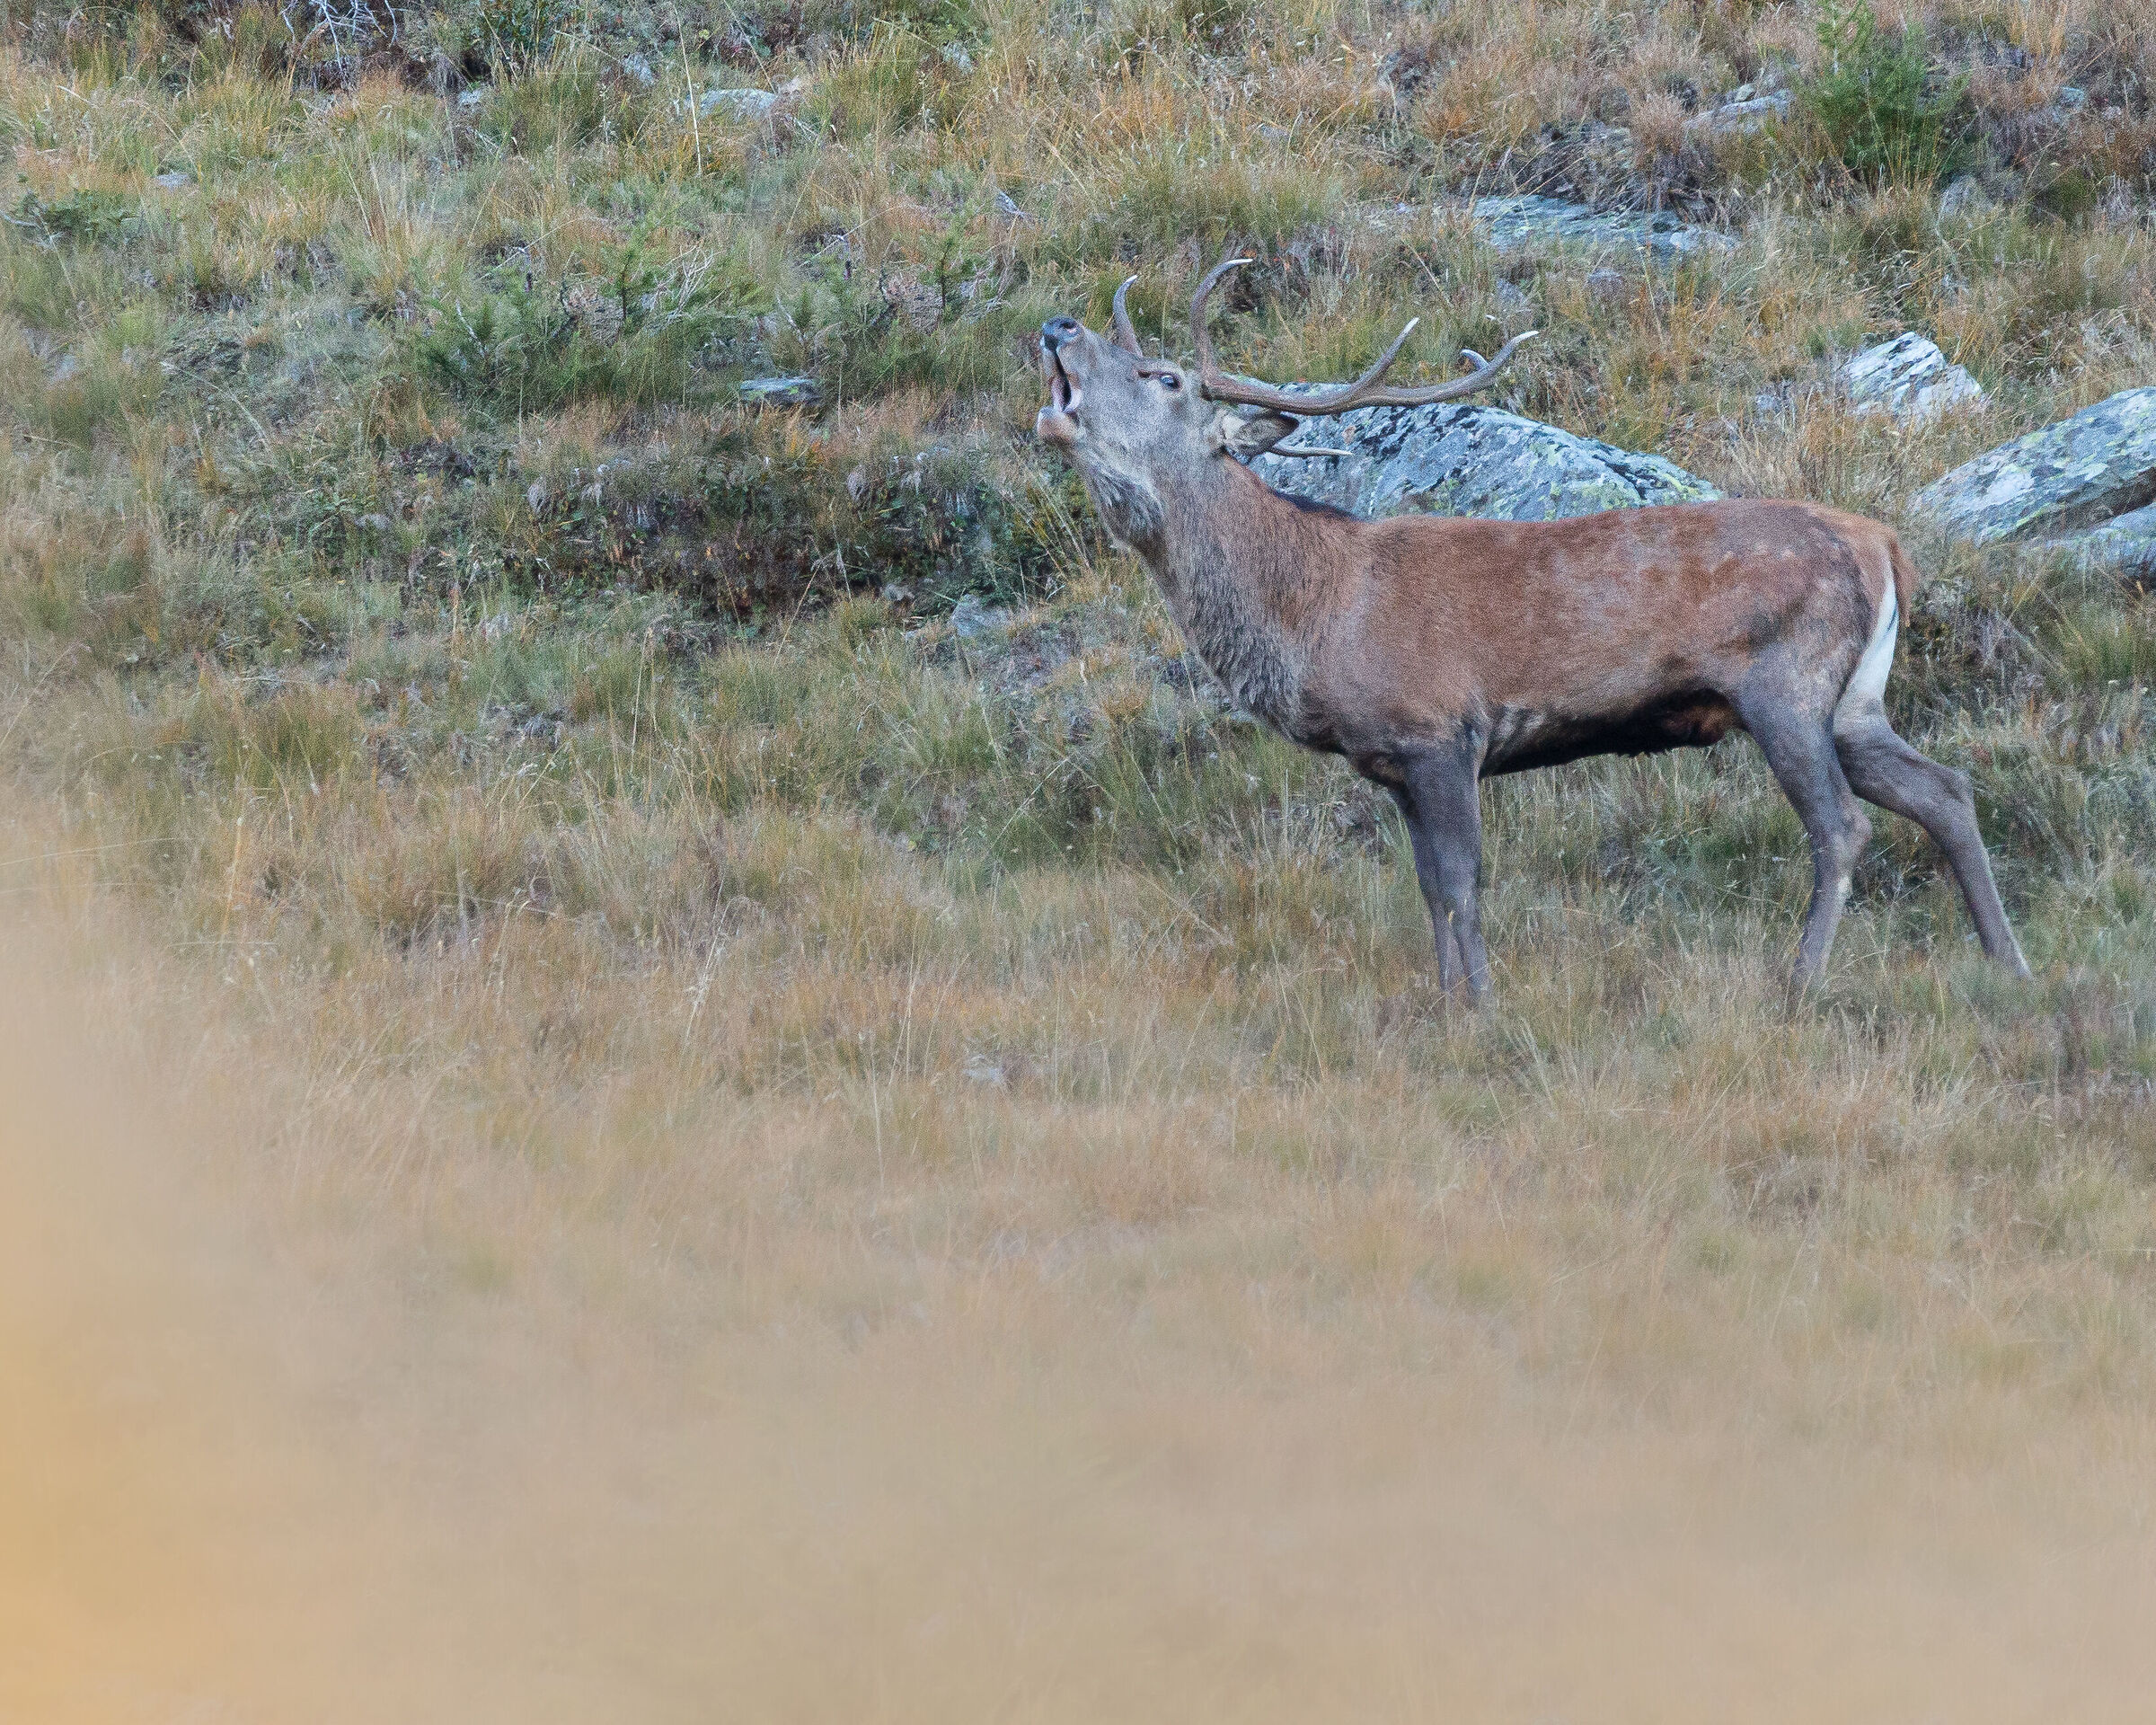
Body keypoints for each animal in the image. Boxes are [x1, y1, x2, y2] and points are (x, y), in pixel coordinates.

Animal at [1033, 260, 2029, 1003]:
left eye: (1165, 378)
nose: (1058, 326)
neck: (1317, 614)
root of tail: (1885, 546)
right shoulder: (1391, 761)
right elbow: (1429, 891)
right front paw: (1445, 1004)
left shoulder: (1440, 728)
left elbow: (1462, 885)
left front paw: (1478, 1009)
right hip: (1855, 699)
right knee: (1944, 789)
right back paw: (2005, 961)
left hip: (1785, 680)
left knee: (1842, 828)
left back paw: (1800, 985)